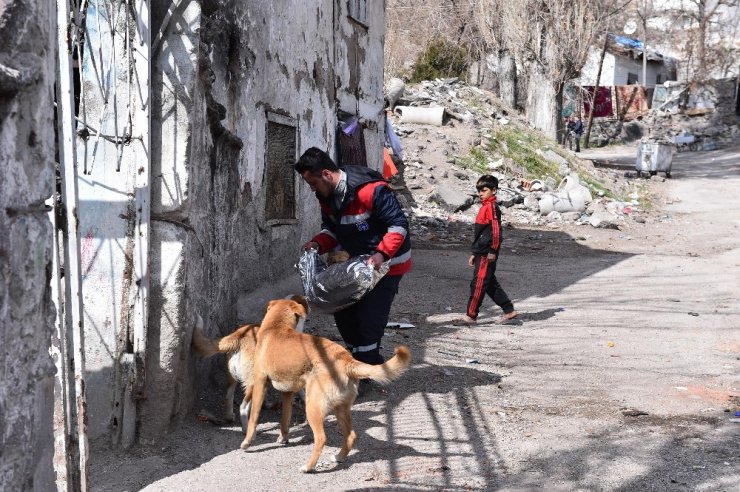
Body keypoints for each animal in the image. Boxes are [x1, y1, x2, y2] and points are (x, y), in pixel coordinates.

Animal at [244, 296, 414, 472]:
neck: (277, 326)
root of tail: (347, 360)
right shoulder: (287, 393)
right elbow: (285, 418)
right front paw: (283, 438)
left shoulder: (260, 383)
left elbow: (253, 418)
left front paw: (247, 442)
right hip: (341, 408)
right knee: (351, 435)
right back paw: (339, 457)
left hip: (313, 407)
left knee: (321, 438)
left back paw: (308, 467)